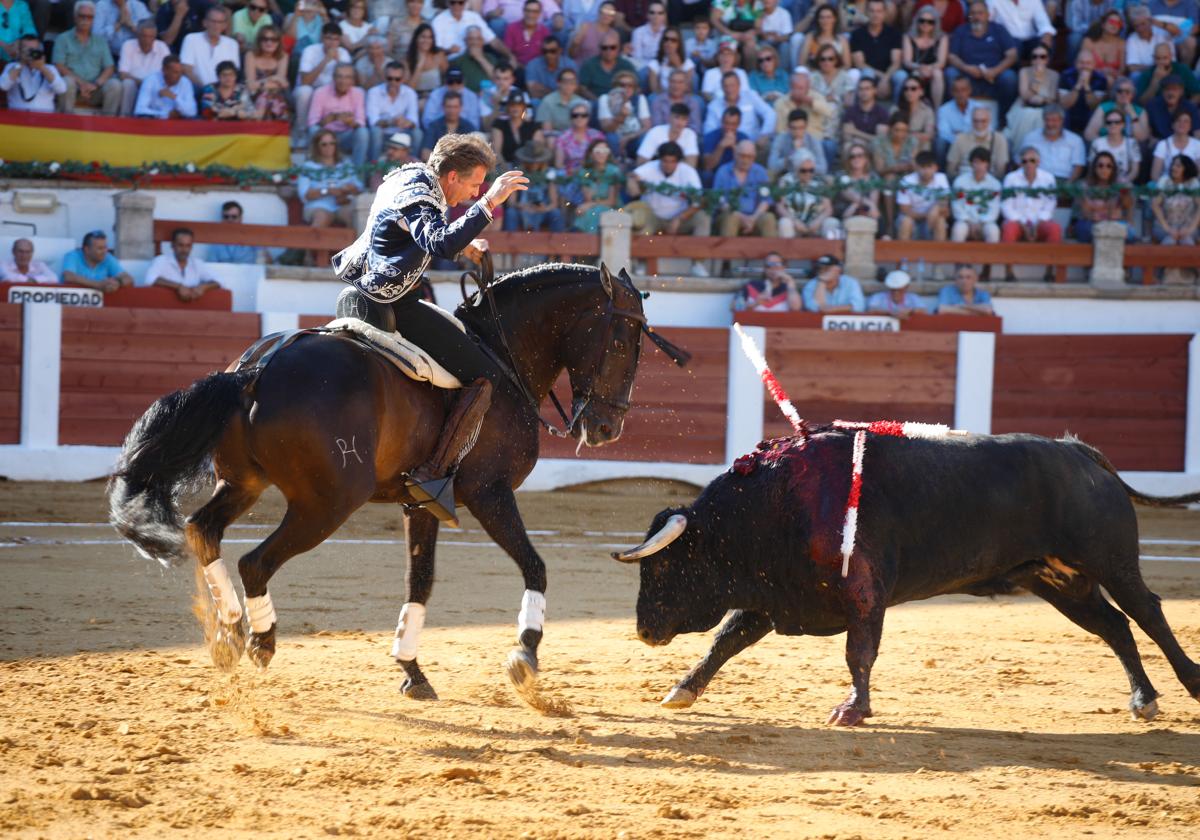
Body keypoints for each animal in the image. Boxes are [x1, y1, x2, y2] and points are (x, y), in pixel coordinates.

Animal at [108, 262, 681, 700]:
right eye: (625, 340)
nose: (606, 429)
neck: (503, 351)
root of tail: (255, 370)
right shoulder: (489, 492)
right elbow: (535, 565)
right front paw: (524, 654)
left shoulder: (422, 504)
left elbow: (419, 580)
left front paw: (412, 671)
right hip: (328, 503)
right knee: (255, 561)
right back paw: (260, 640)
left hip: (246, 483)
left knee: (203, 530)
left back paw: (228, 634)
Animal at [614, 429, 1195, 724]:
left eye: (664, 564)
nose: (642, 630)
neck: (775, 502)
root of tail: (1080, 451)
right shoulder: (776, 595)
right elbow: (725, 640)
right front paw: (681, 691)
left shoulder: (863, 592)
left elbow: (859, 651)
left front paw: (852, 710)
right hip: (1057, 581)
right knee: (1115, 626)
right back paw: (1143, 699)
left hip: (1110, 561)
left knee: (1148, 613)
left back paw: (1190, 682)